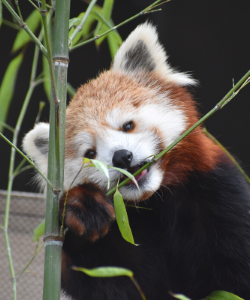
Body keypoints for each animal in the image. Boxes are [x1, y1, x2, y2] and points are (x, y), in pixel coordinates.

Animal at [22, 24, 250, 300]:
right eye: (90, 153)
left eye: (127, 125)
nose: (121, 156)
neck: (157, 200)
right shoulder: (123, 236)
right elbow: (116, 281)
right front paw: (84, 207)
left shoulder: (221, 198)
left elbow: (233, 281)